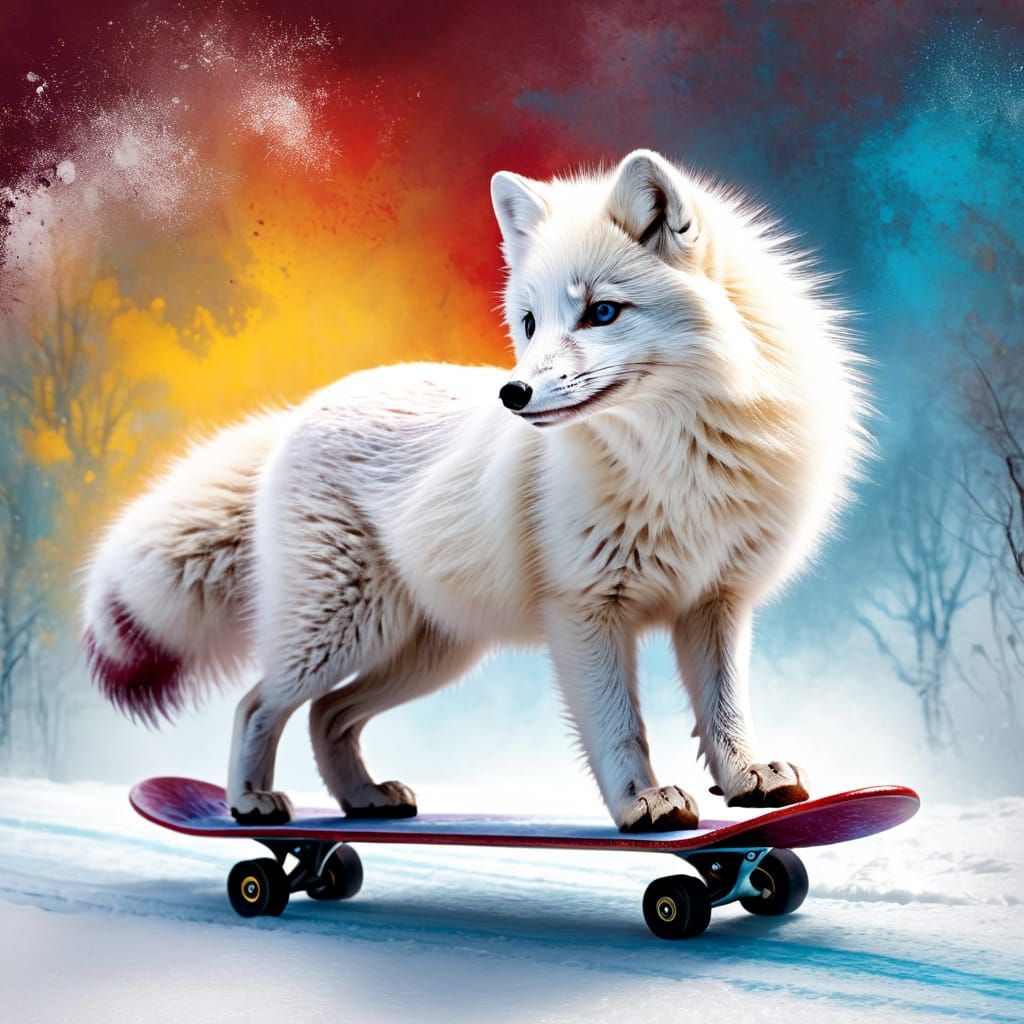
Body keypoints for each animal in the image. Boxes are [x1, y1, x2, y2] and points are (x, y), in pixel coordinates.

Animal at [82, 149, 866, 832]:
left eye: (602, 312)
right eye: (529, 322)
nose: (513, 394)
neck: (677, 465)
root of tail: (300, 411)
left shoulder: (716, 600)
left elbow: (726, 712)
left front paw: (746, 781)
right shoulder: (585, 609)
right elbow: (620, 728)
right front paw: (643, 804)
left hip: (430, 653)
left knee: (327, 716)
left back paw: (364, 799)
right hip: (339, 633)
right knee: (258, 704)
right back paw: (249, 803)